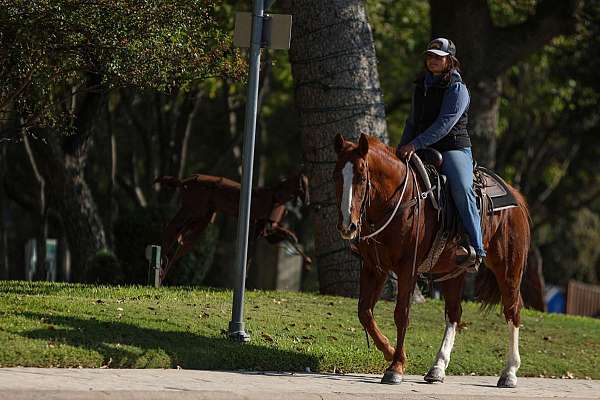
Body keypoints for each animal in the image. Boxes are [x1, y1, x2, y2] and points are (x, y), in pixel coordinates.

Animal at [332, 134, 528, 388]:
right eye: (336, 175)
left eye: (362, 177)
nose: (348, 225)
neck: (400, 200)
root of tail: (516, 196)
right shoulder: (375, 267)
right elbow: (364, 312)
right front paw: (389, 351)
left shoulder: (408, 267)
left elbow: (402, 314)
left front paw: (396, 367)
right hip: (455, 272)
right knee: (454, 314)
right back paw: (437, 368)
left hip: (508, 268)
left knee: (512, 310)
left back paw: (509, 372)